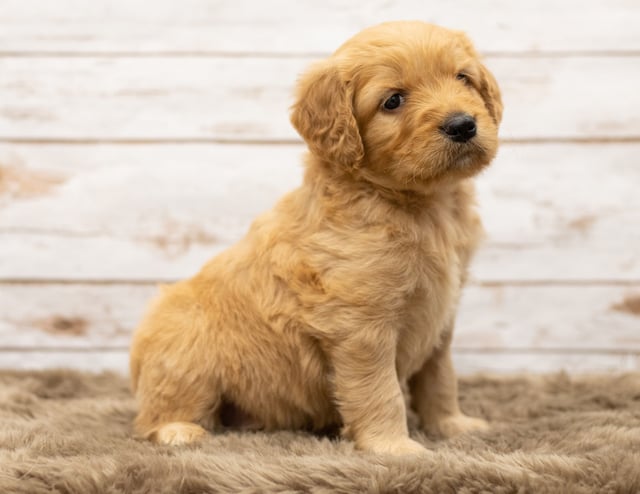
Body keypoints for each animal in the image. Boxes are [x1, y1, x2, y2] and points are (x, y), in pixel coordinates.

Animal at [129, 22, 500, 456]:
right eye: (393, 101)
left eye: (463, 78)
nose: (463, 124)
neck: (423, 205)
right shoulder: (361, 326)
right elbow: (380, 391)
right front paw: (395, 447)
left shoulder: (442, 315)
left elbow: (440, 377)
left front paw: (451, 426)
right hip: (185, 351)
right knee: (155, 415)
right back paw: (179, 431)